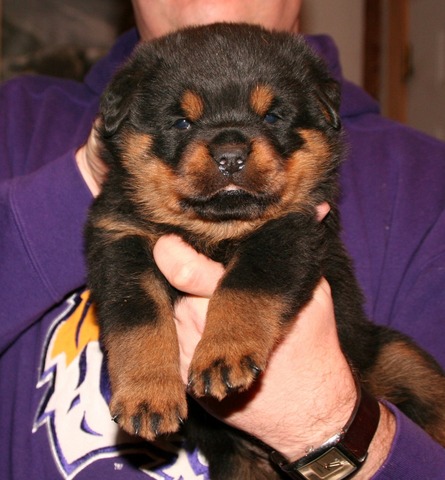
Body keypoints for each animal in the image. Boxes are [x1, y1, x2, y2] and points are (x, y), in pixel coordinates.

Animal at [86, 22, 444, 480]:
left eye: (272, 116)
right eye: (181, 122)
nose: (230, 155)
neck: (217, 228)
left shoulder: (289, 233)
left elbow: (244, 287)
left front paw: (222, 355)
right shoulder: (120, 242)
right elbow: (138, 320)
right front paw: (147, 396)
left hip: (394, 356)